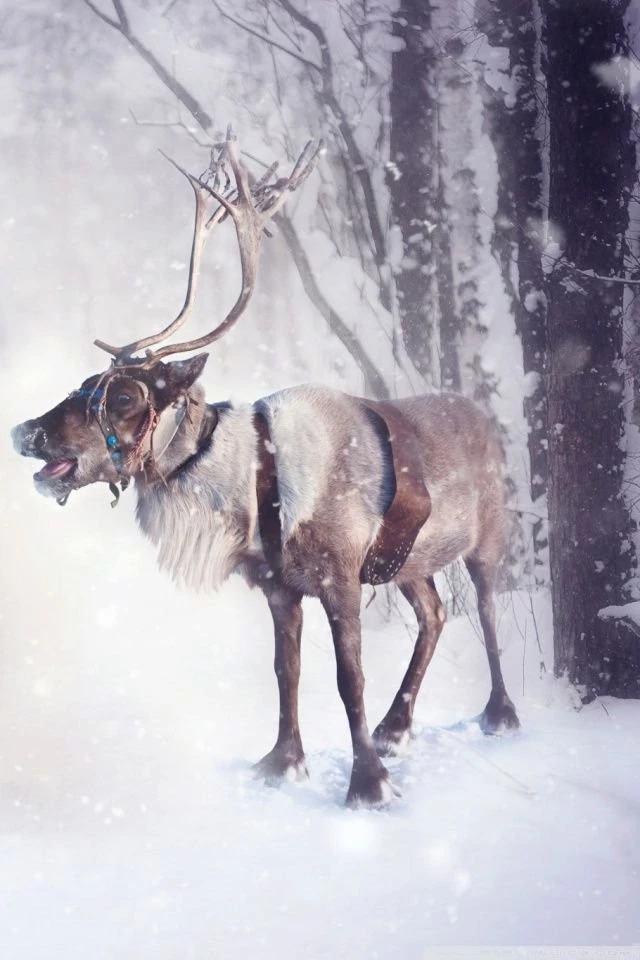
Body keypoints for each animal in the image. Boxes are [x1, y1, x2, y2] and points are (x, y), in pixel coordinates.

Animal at [11, 134, 519, 808]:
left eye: (122, 396)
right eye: (86, 382)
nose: (24, 431)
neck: (256, 488)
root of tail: (487, 417)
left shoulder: (339, 576)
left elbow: (348, 677)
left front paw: (367, 784)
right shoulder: (279, 586)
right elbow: (287, 670)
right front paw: (282, 763)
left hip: (489, 536)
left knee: (486, 610)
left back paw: (499, 714)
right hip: (411, 560)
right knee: (435, 613)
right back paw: (396, 728)